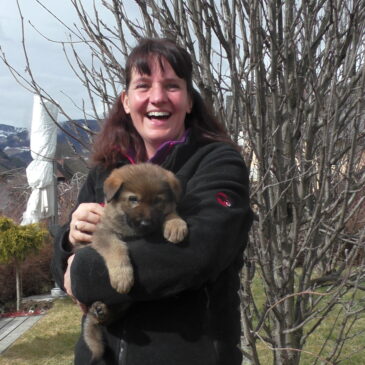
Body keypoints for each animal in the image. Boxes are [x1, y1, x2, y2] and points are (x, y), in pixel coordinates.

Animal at [76, 164, 186, 362]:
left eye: (157, 201)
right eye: (133, 199)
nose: (145, 223)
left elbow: (170, 211)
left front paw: (175, 224)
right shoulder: (104, 233)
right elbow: (116, 249)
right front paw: (122, 276)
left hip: (124, 304)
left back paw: (102, 311)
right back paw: (99, 310)